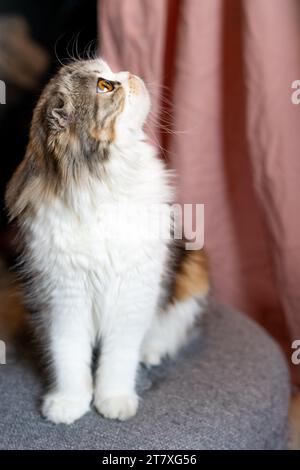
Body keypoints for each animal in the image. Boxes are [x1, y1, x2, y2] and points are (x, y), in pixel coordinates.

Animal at [5, 57, 210, 424]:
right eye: (104, 86)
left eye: (111, 72)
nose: (129, 73)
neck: (102, 185)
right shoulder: (64, 295)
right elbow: (69, 355)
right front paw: (69, 403)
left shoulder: (134, 291)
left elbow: (119, 357)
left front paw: (113, 400)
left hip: (194, 271)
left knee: (171, 328)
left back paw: (152, 351)